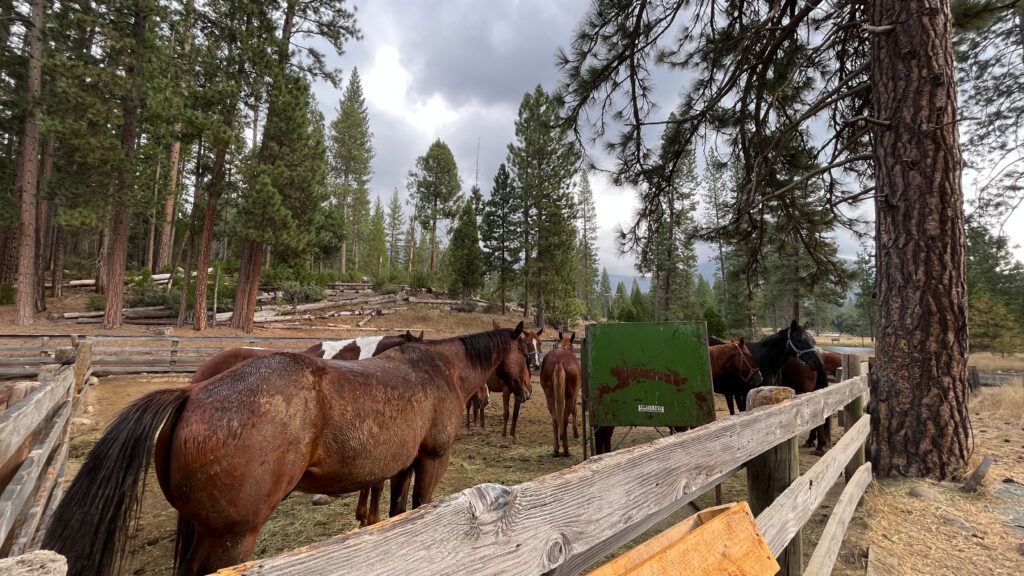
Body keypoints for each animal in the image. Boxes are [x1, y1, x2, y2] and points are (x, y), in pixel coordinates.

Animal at [41, 323, 528, 573]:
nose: (524, 390)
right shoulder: (431, 461)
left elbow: (398, 513)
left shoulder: (402, 468)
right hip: (232, 538)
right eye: (529, 349)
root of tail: (192, 393)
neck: (437, 369)